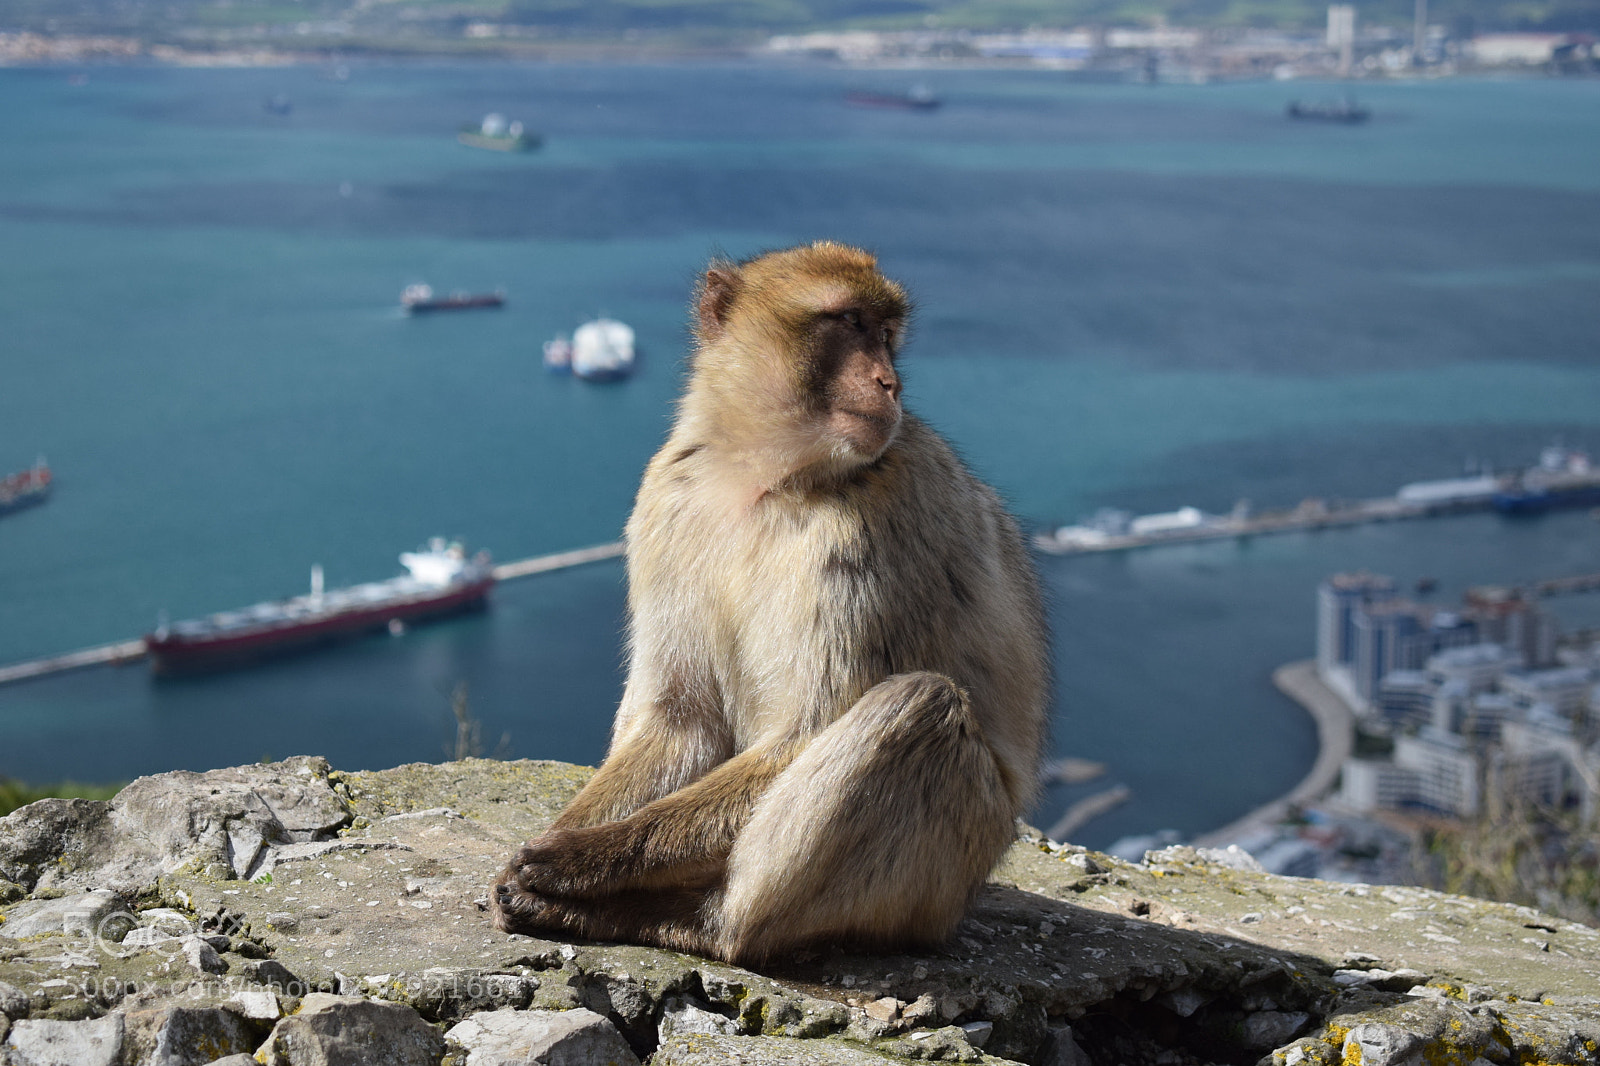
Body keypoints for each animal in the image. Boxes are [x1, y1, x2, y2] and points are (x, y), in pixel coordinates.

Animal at [491, 241, 1049, 967]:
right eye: (849, 322)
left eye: (886, 333)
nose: (890, 384)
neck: (759, 476)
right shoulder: (665, 500)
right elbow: (681, 721)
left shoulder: (877, 527)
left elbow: (804, 732)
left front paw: (575, 860)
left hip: (948, 873)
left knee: (921, 705)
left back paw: (701, 923)